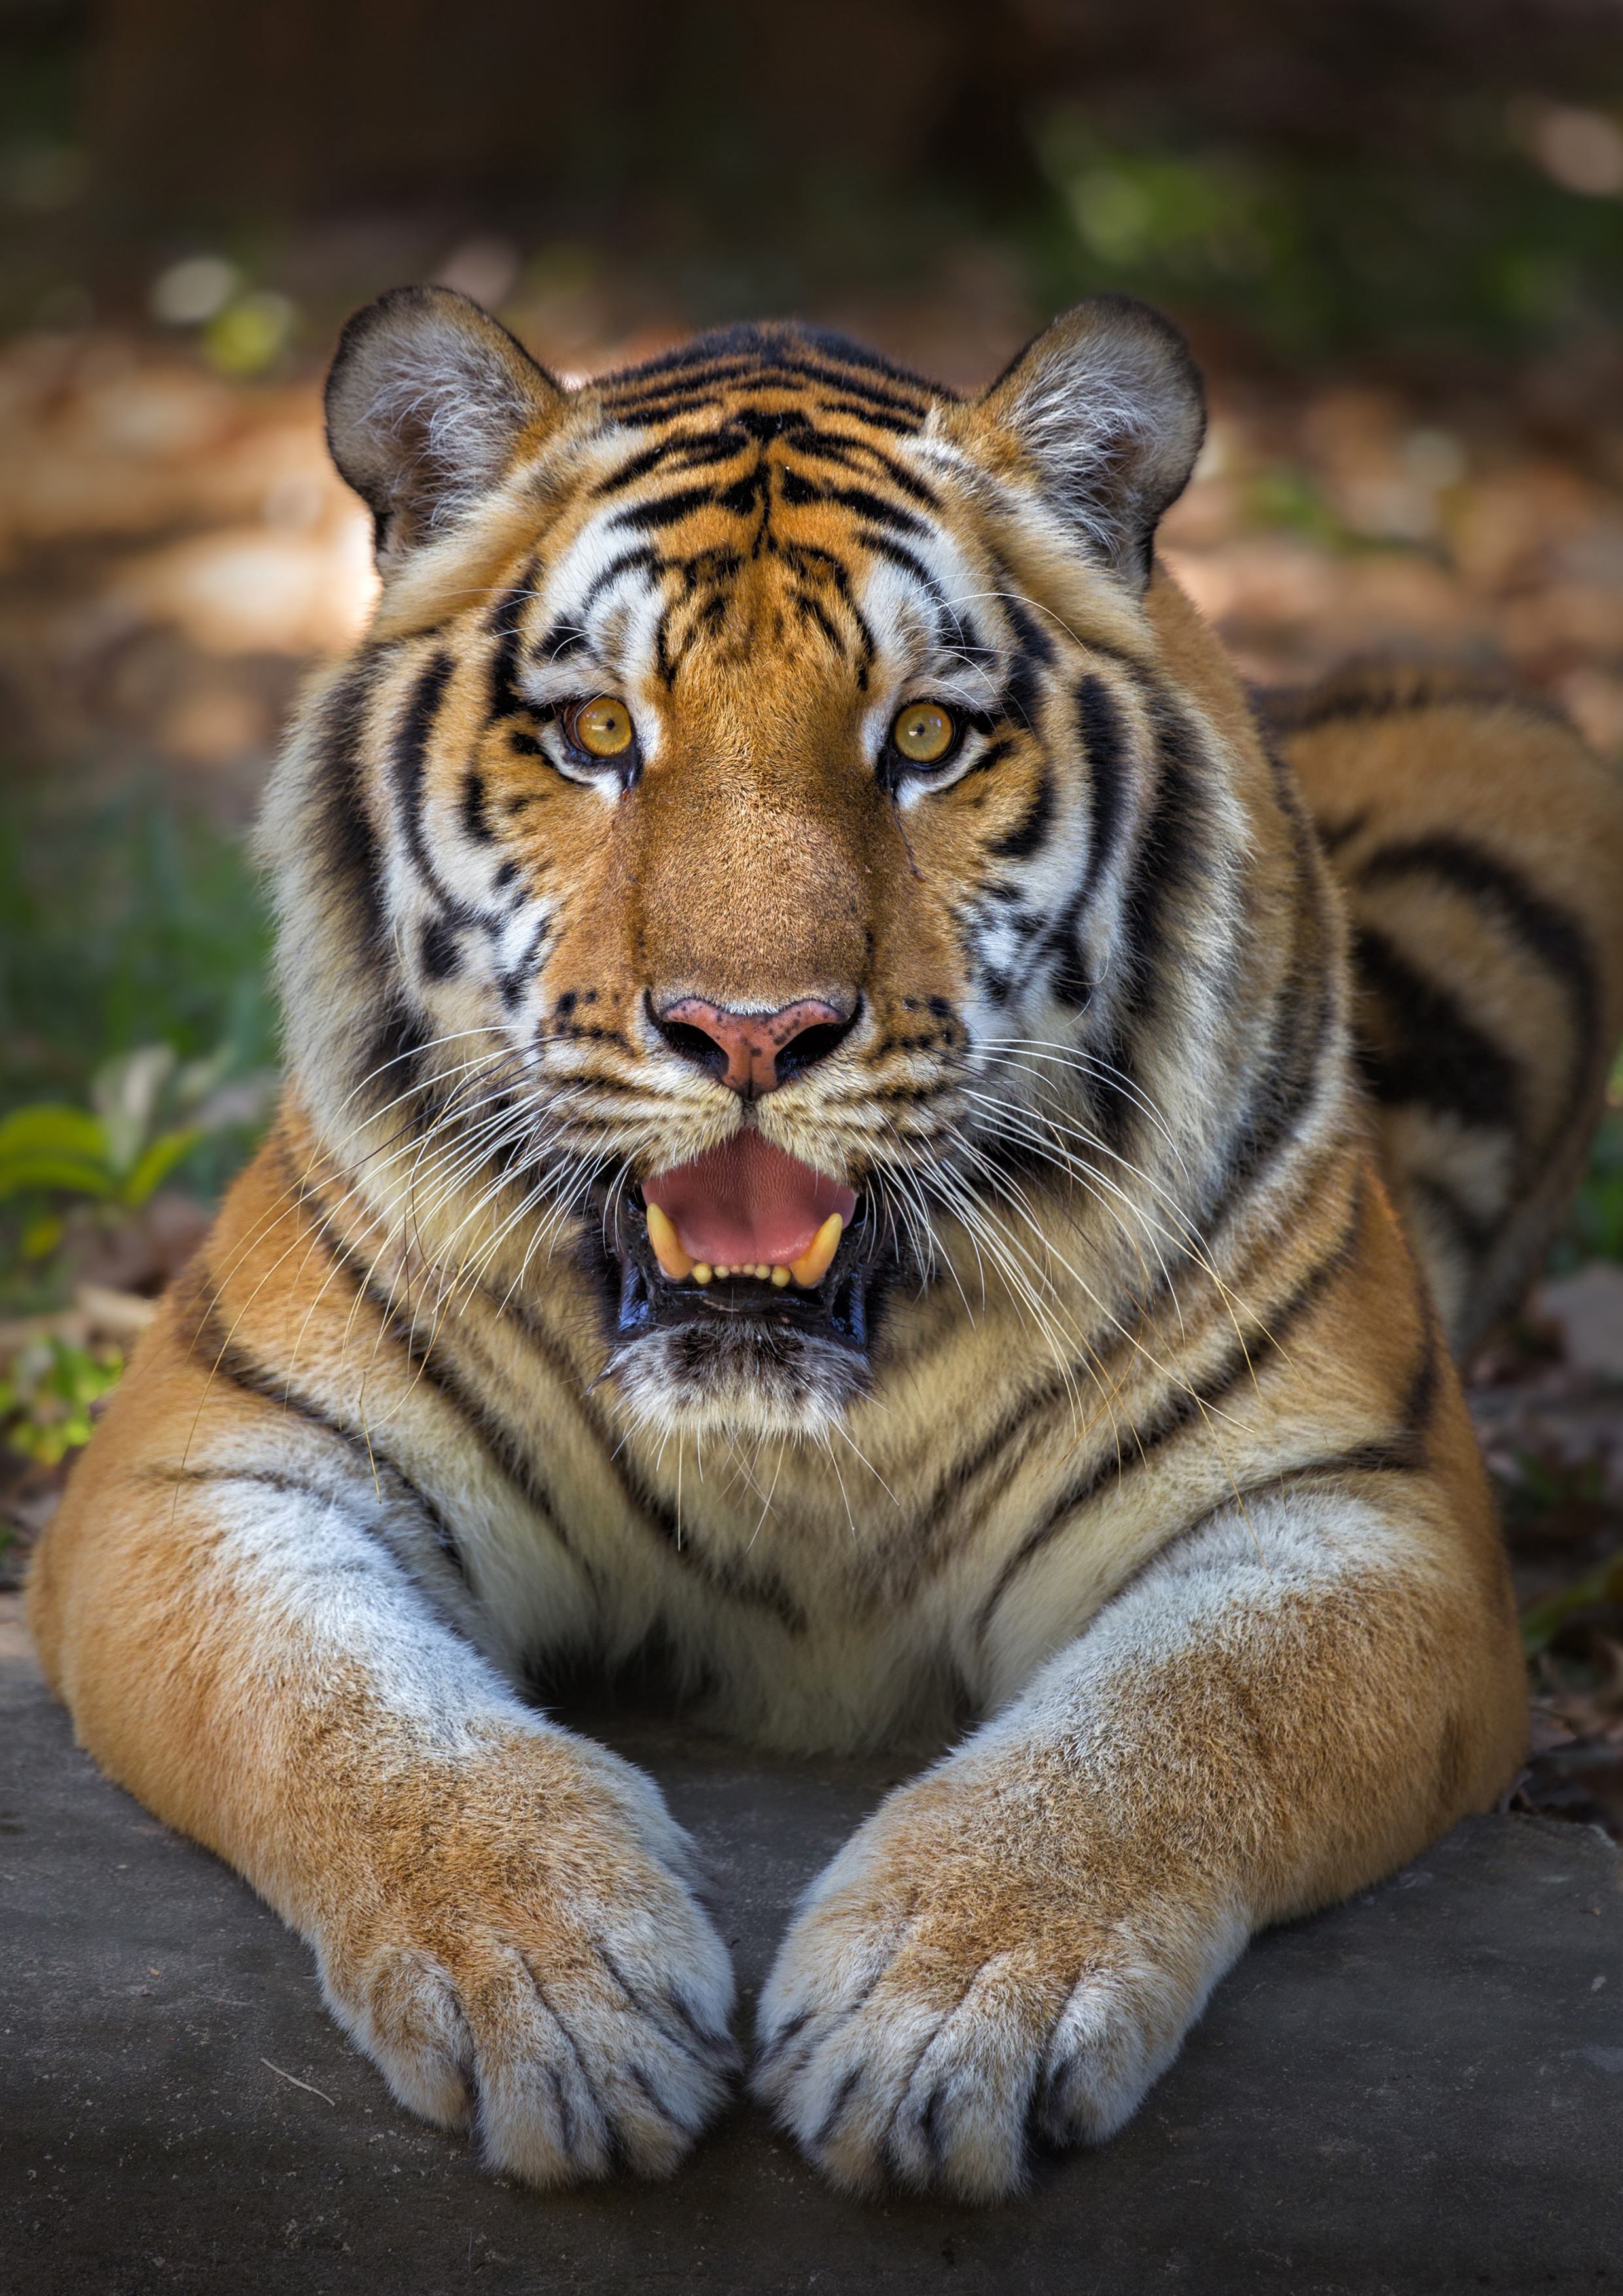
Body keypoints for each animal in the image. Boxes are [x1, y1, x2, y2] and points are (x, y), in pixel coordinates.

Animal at [26, 287, 1623, 2205]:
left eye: (925, 742)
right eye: (596, 732)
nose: (750, 1030)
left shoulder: (1355, 1513)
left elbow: (1168, 1730)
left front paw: (939, 2013)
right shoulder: (212, 1472)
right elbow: (353, 1720)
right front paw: (560, 1989)